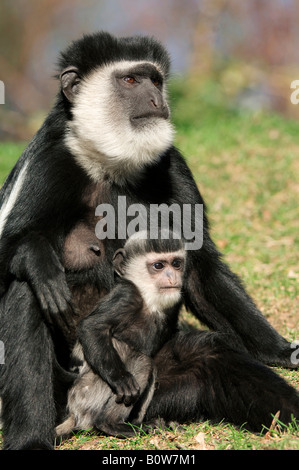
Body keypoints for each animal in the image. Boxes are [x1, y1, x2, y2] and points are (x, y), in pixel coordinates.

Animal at [56, 231, 185, 436]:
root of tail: (73, 413)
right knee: (139, 358)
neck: (148, 299)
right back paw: (111, 424)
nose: (173, 277)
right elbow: (92, 327)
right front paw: (120, 378)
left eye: (176, 263)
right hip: (88, 392)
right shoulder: (126, 296)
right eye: (158, 266)